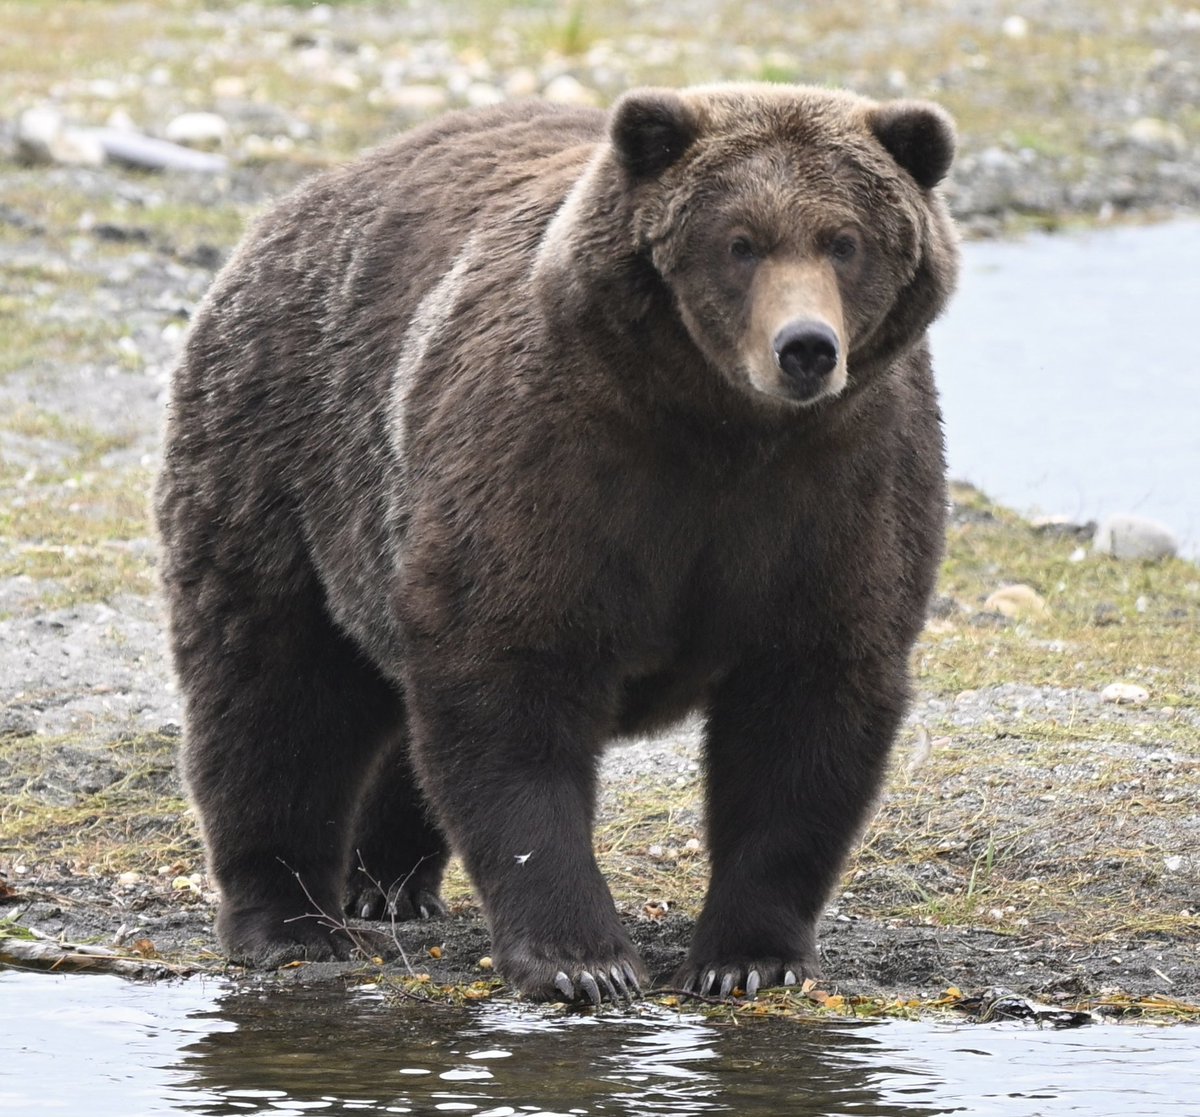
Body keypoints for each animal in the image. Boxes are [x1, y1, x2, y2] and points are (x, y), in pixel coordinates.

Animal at [154, 82, 959, 1004]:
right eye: (740, 242)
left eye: (845, 240)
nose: (805, 348)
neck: (721, 428)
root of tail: (291, 208)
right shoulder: (555, 460)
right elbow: (512, 683)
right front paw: (585, 959)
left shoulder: (839, 487)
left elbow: (808, 710)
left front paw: (746, 957)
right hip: (285, 458)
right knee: (272, 689)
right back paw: (287, 919)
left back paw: (387, 880)